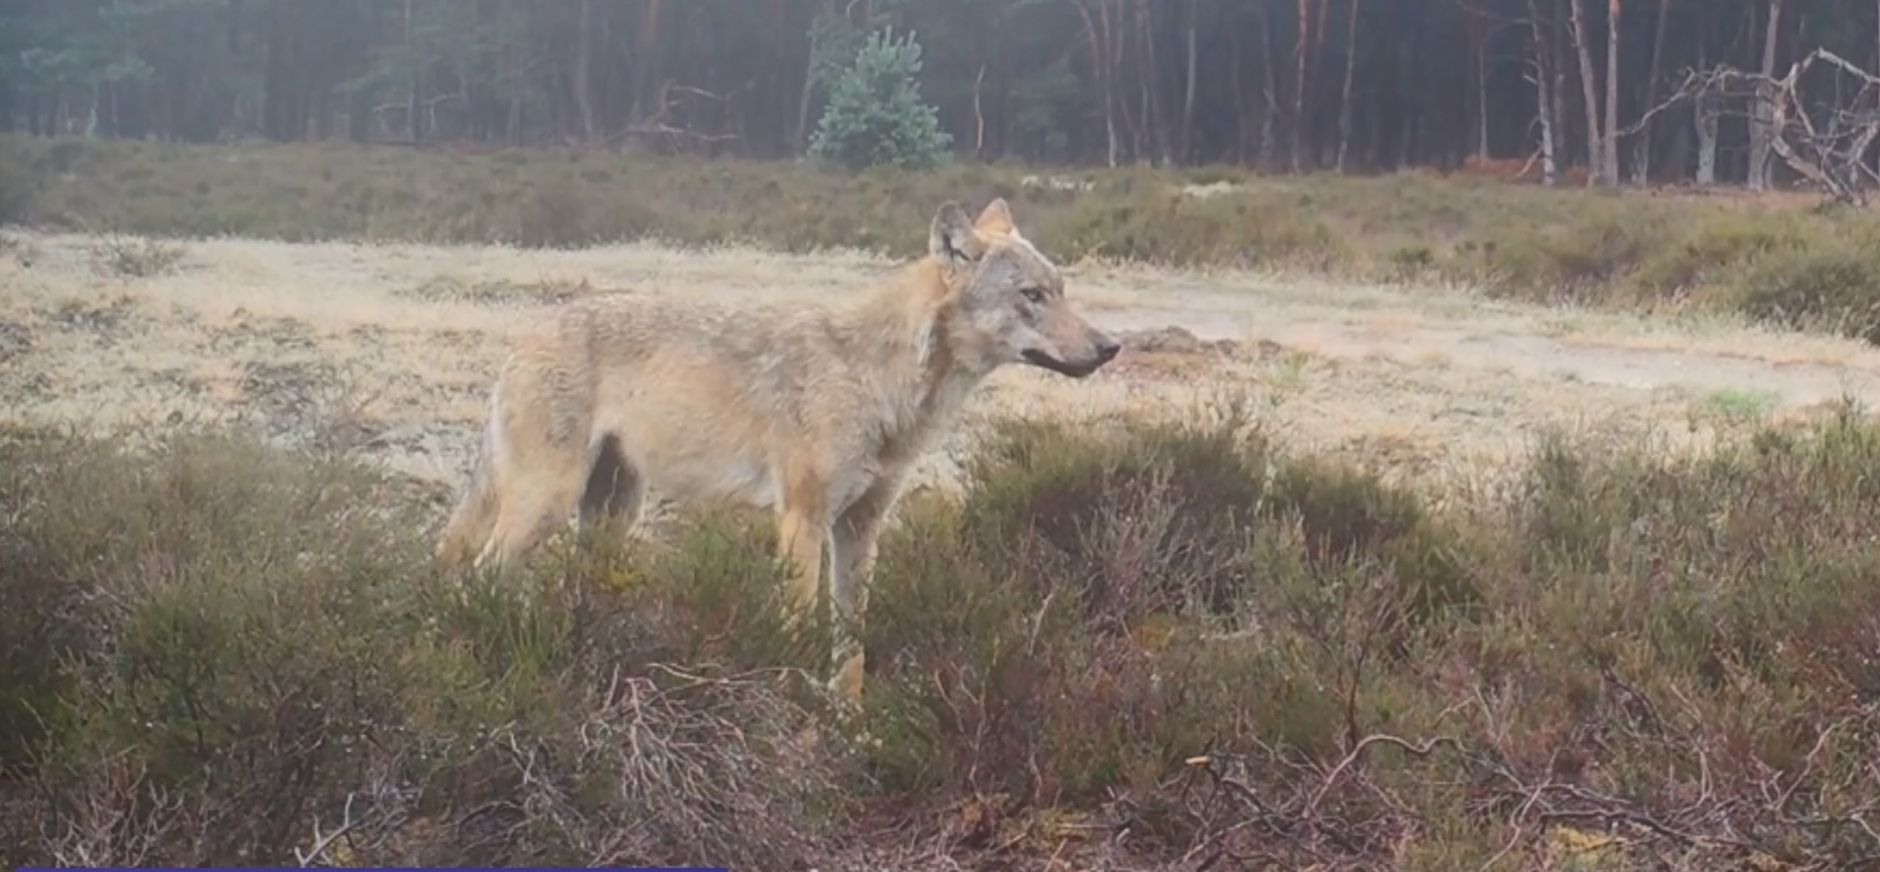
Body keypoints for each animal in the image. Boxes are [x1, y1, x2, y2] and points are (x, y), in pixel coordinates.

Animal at [434, 198, 1121, 702]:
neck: (877, 382)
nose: (1110, 346)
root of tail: (522, 340)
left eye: (1062, 289)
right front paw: (794, 718)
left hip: (611, 516)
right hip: (547, 505)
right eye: (1032, 296)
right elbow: (795, 631)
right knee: (481, 572)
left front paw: (851, 727)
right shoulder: (802, 520)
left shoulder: (859, 530)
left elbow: (851, 646)